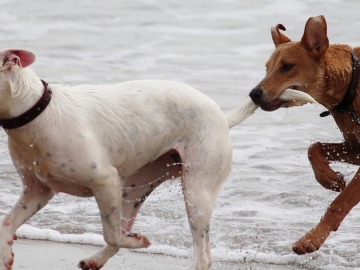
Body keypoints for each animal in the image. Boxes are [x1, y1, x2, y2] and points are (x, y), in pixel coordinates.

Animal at [0, 49, 316, 268]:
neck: (37, 112)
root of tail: (222, 118)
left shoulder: (105, 181)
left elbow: (111, 233)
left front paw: (139, 242)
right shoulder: (37, 192)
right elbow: (6, 224)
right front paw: (5, 254)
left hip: (196, 192)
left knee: (202, 255)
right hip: (134, 188)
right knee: (123, 229)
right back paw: (95, 260)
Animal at [250, 14, 360, 255]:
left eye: (287, 67)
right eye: (267, 68)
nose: (253, 94)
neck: (351, 84)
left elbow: (340, 203)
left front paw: (311, 239)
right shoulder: (355, 147)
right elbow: (314, 148)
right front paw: (330, 178)